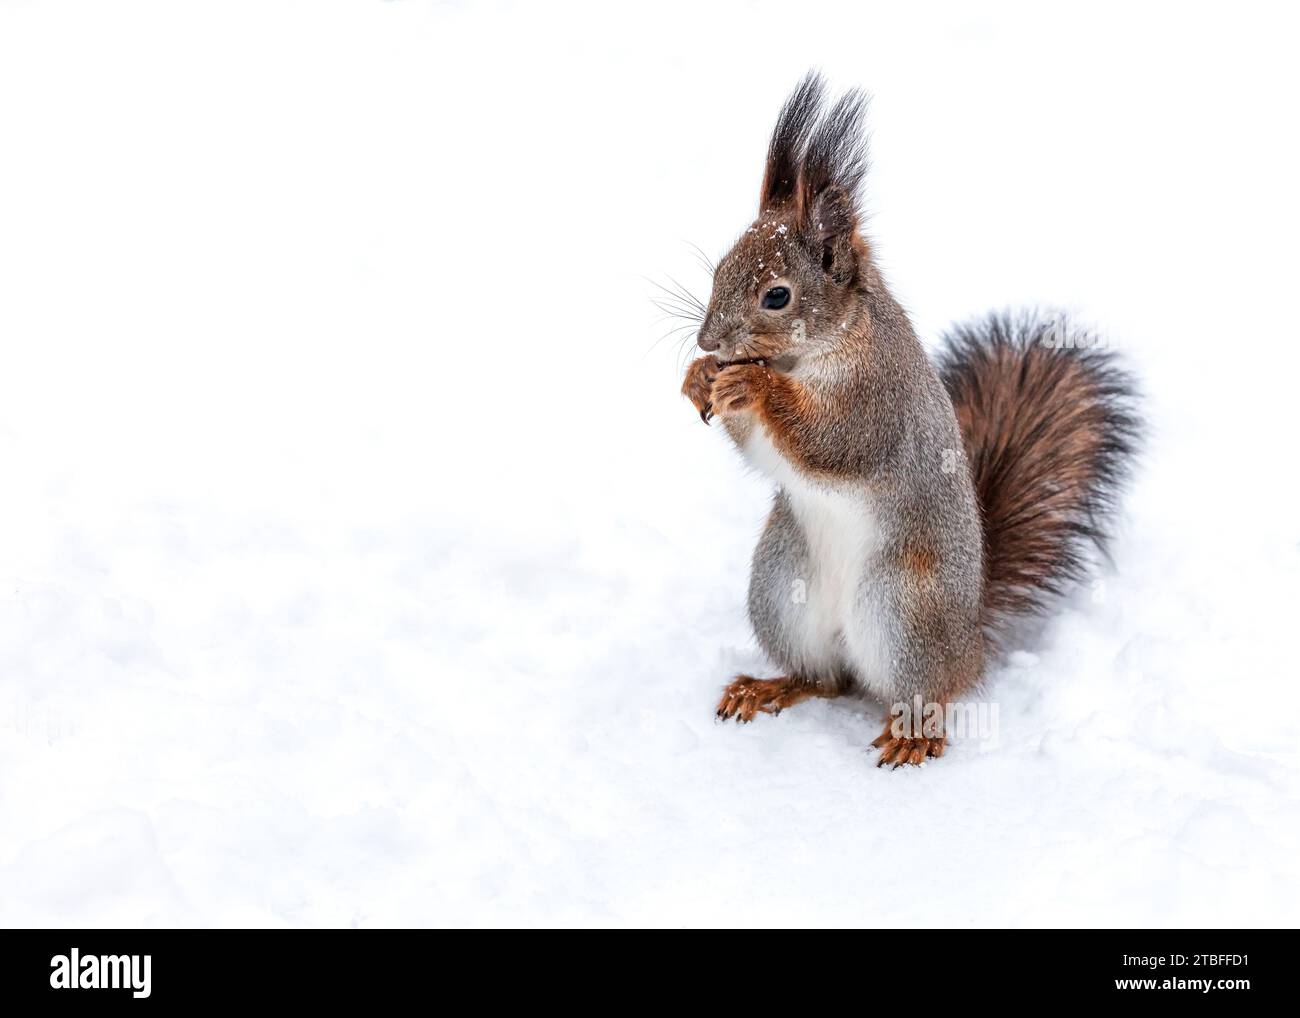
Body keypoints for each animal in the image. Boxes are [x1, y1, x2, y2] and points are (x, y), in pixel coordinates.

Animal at [679, 73, 1140, 766]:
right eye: (719, 268)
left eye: (777, 295)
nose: (709, 338)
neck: (812, 351)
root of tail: (970, 643)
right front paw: (699, 377)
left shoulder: (878, 398)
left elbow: (832, 441)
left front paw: (751, 383)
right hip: (782, 589)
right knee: (826, 679)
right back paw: (769, 687)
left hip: (904, 610)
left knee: (925, 694)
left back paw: (913, 735)